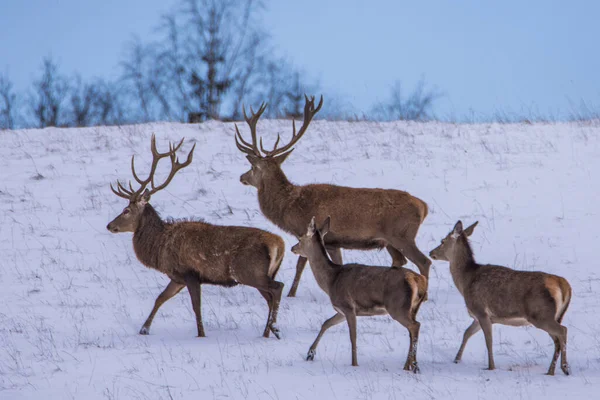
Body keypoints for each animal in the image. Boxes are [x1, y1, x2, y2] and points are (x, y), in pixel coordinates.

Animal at [106, 134, 284, 338]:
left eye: (126, 210)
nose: (110, 225)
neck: (160, 247)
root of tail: (279, 244)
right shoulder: (177, 277)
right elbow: (160, 298)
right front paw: (144, 329)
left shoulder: (189, 272)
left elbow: (196, 306)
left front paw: (201, 334)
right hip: (262, 273)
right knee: (270, 297)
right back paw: (267, 332)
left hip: (248, 271)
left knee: (277, 288)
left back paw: (274, 328)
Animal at [234, 96, 432, 296]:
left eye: (253, 167)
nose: (241, 177)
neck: (290, 206)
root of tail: (424, 206)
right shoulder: (333, 242)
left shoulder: (307, 231)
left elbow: (301, 264)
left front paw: (291, 294)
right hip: (390, 241)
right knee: (401, 260)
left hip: (402, 235)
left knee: (424, 261)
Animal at [292, 217, 426, 370]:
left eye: (300, 238)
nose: (292, 248)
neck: (331, 280)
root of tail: (419, 280)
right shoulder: (341, 310)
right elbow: (326, 323)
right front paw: (310, 354)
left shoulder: (348, 306)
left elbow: (353, 336)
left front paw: (354, 364)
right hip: (413, 308)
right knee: (412, 330)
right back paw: (411, 365)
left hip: (397, 306)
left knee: (415, 326)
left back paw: (410, 365)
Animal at [432, 222, 572, 376]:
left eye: (442, 241)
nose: (431, 253)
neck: (465, 281)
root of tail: (563, 284)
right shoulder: (478, 317)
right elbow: (467, 333)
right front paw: (456, 359)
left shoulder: (480, 310)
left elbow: (488, 341)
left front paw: (491, 367)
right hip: (554, 316)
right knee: (557, 339)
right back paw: (551, 371)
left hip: (541, 314)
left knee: (562, 331)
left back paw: (565, 368)